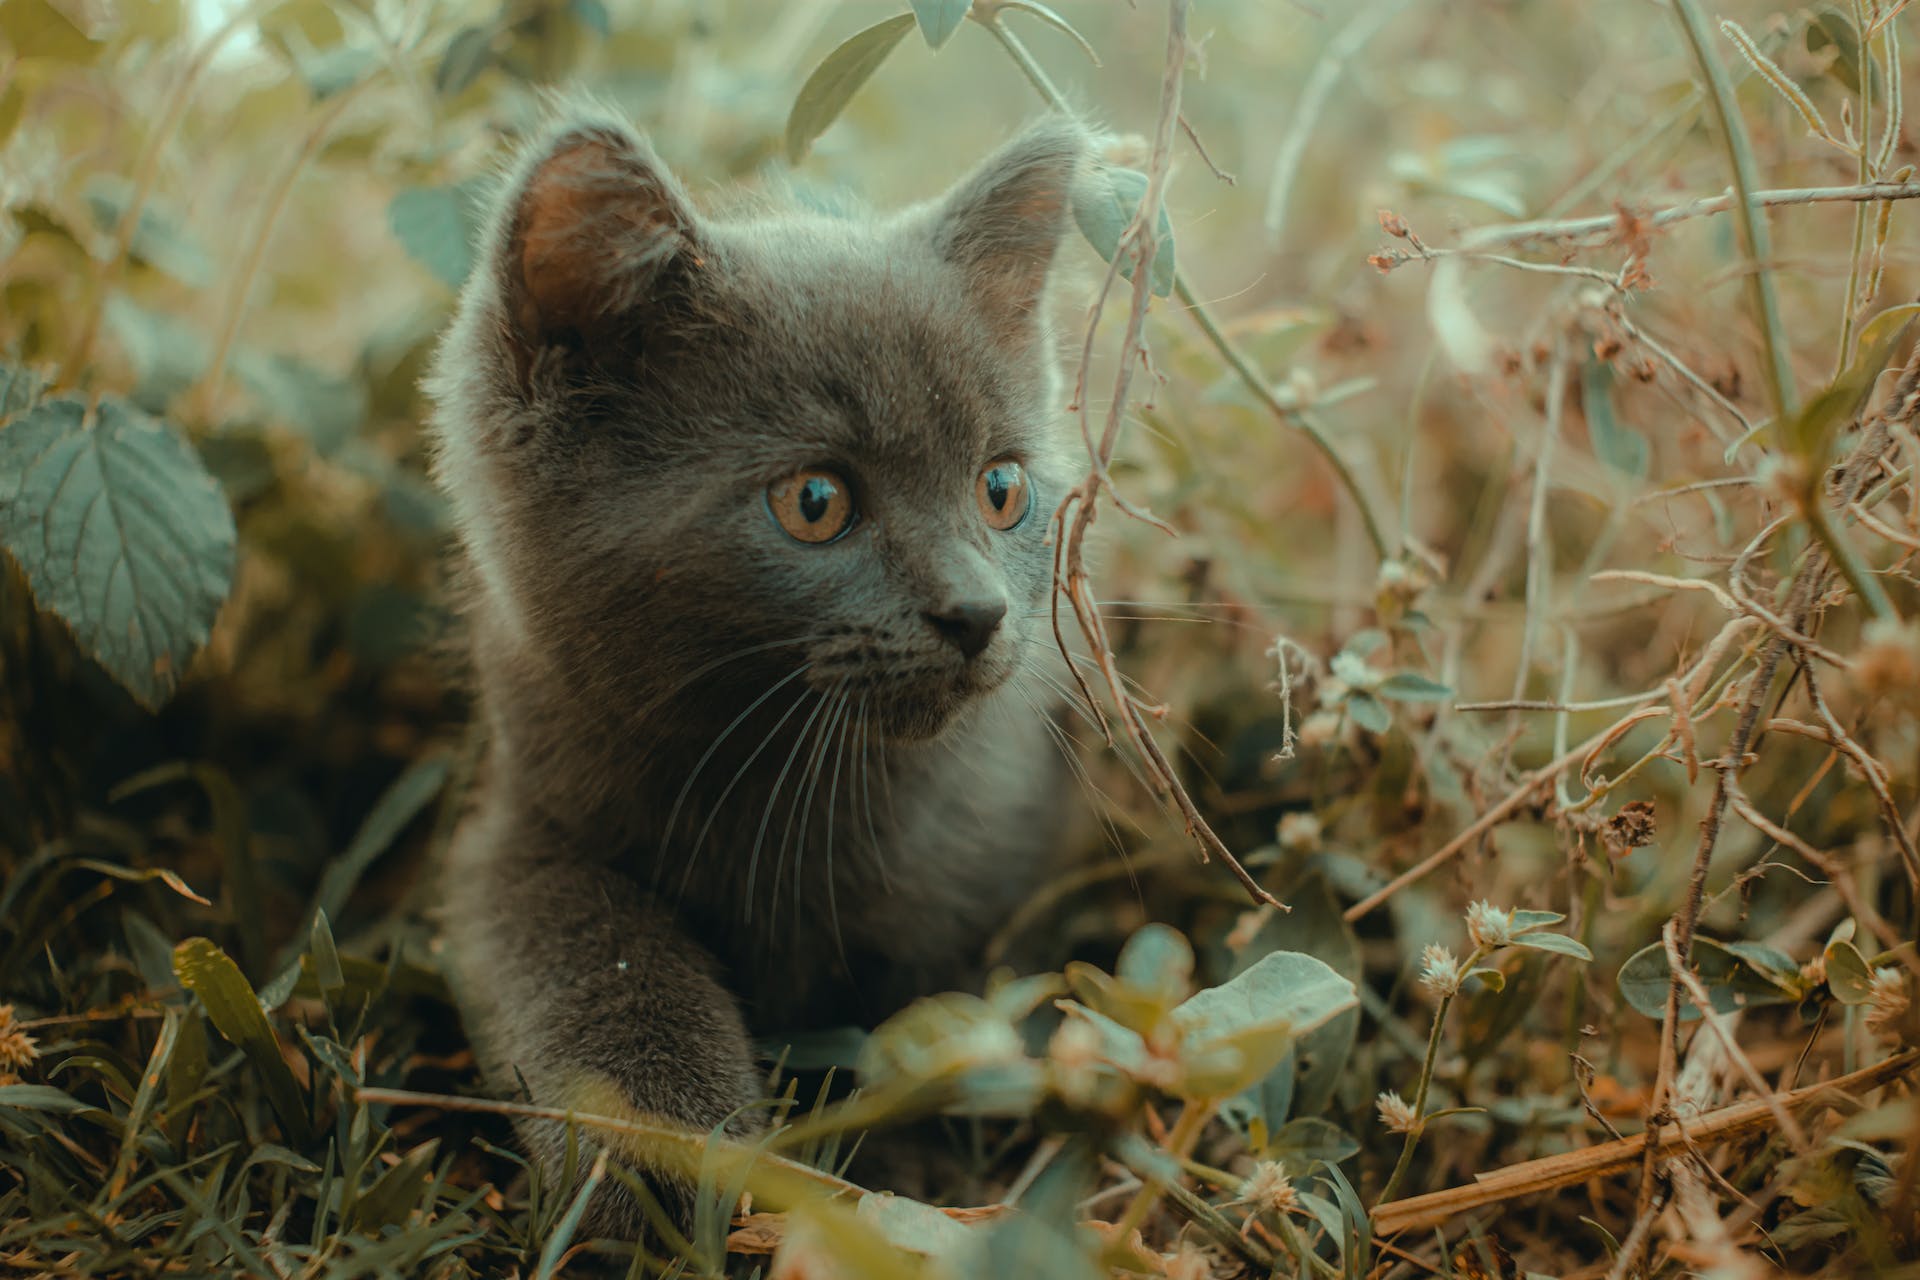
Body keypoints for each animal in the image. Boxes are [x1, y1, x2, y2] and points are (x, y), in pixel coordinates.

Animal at [428, 112, 1090, 1243]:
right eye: (815, 501)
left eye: (1001, 488)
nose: (978, 611)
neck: (791, 800)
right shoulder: (515, 824)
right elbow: (579, 944)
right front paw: (657, 1152)